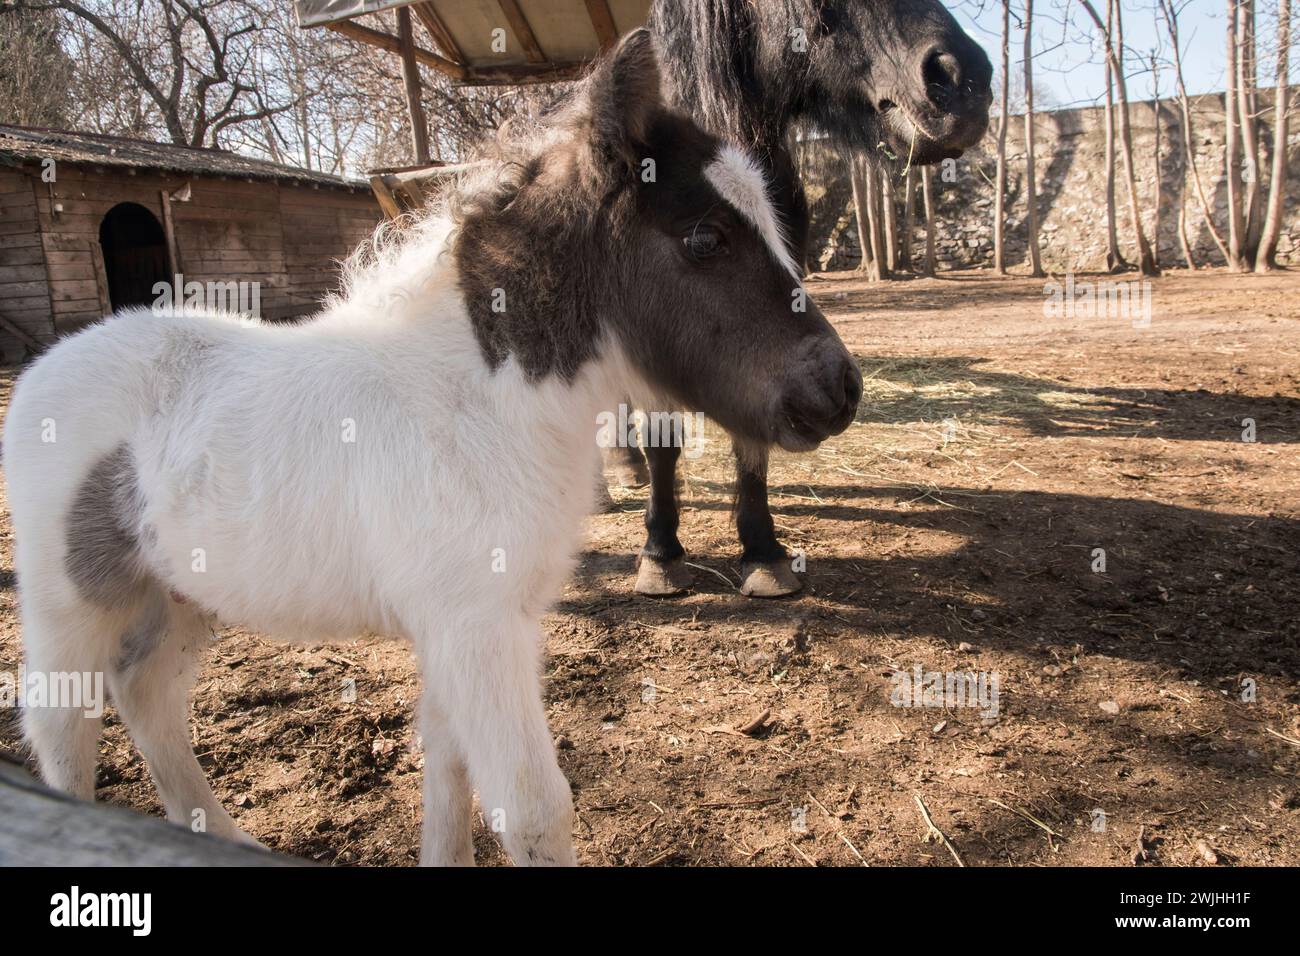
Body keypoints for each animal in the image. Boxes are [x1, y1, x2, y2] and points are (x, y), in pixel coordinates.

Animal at [3, 30, 860, 866]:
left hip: (180, 593)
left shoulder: (461, 633)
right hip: (68, 602)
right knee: (61, 724)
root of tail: (45, 368)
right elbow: (533, 809)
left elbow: (448, 768)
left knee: (145, 694)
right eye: (705, 238)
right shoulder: (475, 626)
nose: (841, 388)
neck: (476, 401)